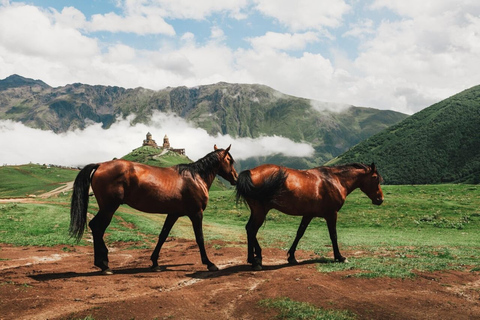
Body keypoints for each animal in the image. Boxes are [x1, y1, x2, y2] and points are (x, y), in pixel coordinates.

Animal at [70, 145, 238, 272]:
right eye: (230, 160)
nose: (236, 178)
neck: (195, 177)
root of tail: (100, 165)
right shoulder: (196, 213)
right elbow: (200, 238)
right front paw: (209, 263)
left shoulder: (173, 214)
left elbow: (163, 236)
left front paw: (155, 262)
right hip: (109, 208)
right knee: (97, 228)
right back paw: (104, 264)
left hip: (107, 209)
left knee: (95, 227)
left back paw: (102, 263)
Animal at [234, 162, 384, 270]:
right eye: (375, 178)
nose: (380, 199)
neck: (335, 180)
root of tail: (250, 172)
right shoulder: (331, 214)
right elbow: (333, 235)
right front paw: (340, 257)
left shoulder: (308, 214)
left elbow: (299, 233)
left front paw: (291, 256)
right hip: (260, 211)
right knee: (252, 229)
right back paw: (256, 260)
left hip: (257, 211)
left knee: (249, 229)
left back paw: (255, 257)